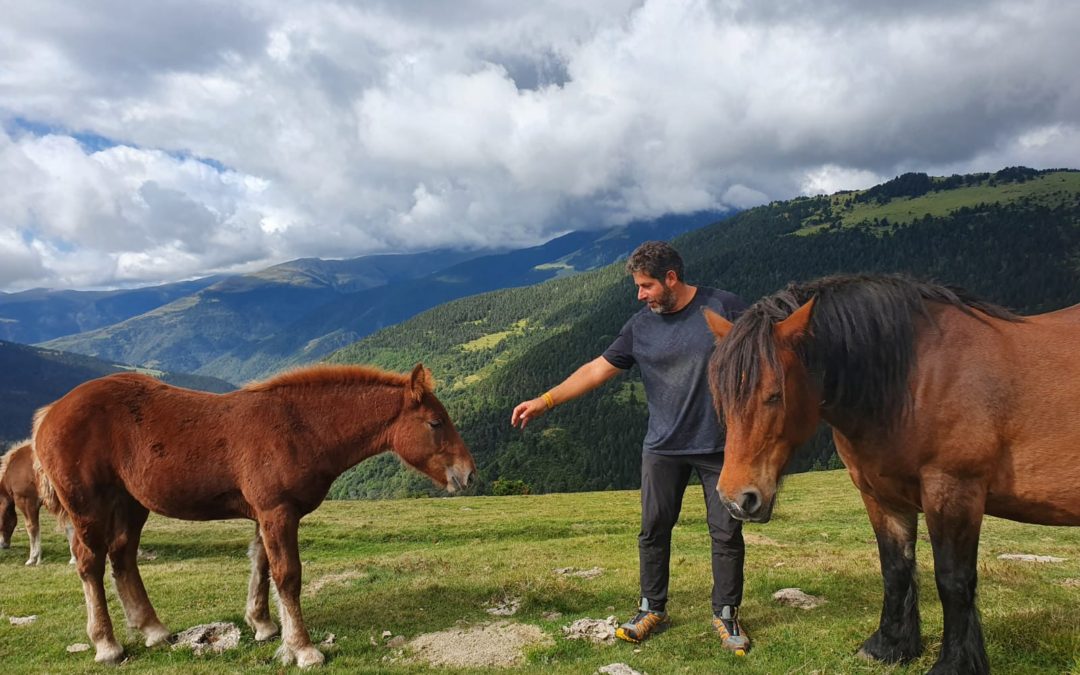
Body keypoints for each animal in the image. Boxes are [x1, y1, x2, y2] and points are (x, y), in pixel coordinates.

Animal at [32, 360, 473, 665]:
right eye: (436, 422)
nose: (468, 474)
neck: (298, 426)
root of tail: (50, 413)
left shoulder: (266, 513)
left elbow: (261, 565)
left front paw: (263, 626)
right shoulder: (278, 511)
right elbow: (287, 575)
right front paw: (304, 649)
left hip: (131, 502)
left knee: (122, 556)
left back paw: (154, 630)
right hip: (87, 506)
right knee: (90, 562)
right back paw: (107, 645)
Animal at [704, 274, 1075, 673]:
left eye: (774, 394)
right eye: (720, 397)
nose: (737, 499)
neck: (913, 380)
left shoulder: (954, 490)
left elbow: (953, 579)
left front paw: (953, 663)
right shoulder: (881, 496)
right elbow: (895, 568)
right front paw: (889, 646)